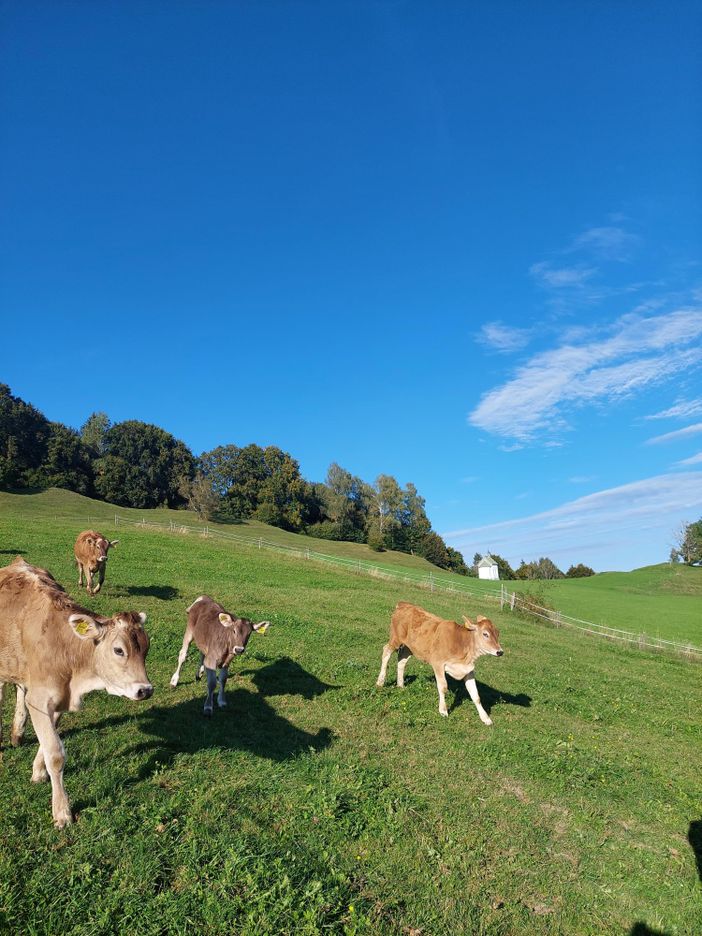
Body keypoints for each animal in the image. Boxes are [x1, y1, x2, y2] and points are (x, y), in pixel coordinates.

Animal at [0, 556, 153, 828]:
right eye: (119, 650)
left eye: (146, 649)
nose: (145, 690)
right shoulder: (40, 699)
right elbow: (55, 753)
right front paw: (62, 812)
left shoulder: (59, 699)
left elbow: (48, 743)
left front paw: (38, 772)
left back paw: (17, 732)